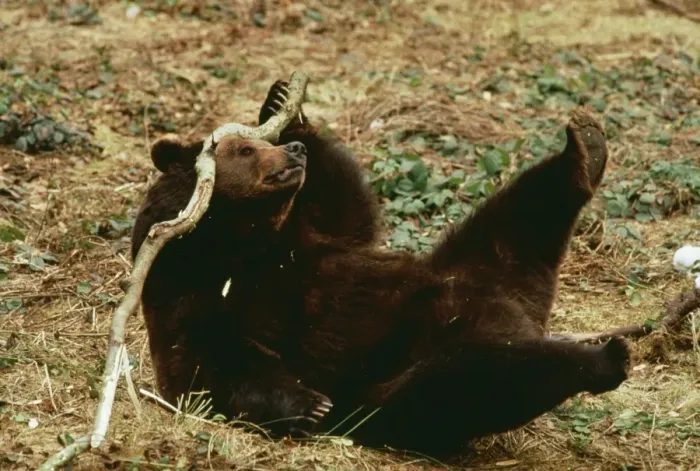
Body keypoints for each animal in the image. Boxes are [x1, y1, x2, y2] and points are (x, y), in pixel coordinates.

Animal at [131, 80, 631, 458]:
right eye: (245, 151)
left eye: (260, 140)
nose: (292, 151)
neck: (242, 238)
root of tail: (523, 314)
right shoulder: (190, 295)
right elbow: (212, 370)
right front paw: (308, 404)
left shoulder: (309, 240)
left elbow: (351, 209)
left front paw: (285, 105)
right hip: (399, 378)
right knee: (475, 379)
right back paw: (604, 356)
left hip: (476, 262)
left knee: (523, 213)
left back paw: (586, 147)